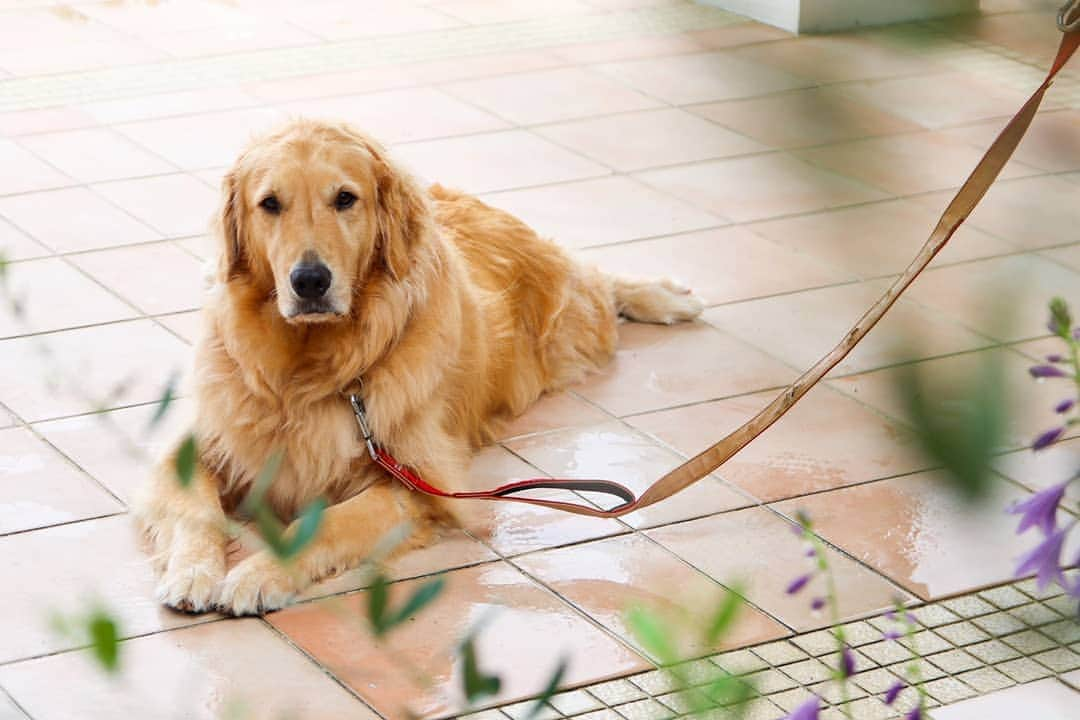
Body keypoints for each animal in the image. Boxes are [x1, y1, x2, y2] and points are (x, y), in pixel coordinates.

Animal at [132, 118, 699, 613]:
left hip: (573, 327)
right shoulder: (199, 445)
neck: (310, 367)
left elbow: (321, 525)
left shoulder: (417, 484)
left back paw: (662, 296)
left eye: (345, 198)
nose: (310, 281)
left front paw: (257, 574)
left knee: (598, 280)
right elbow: (195, 509)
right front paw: (193, 571)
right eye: (270, 204)